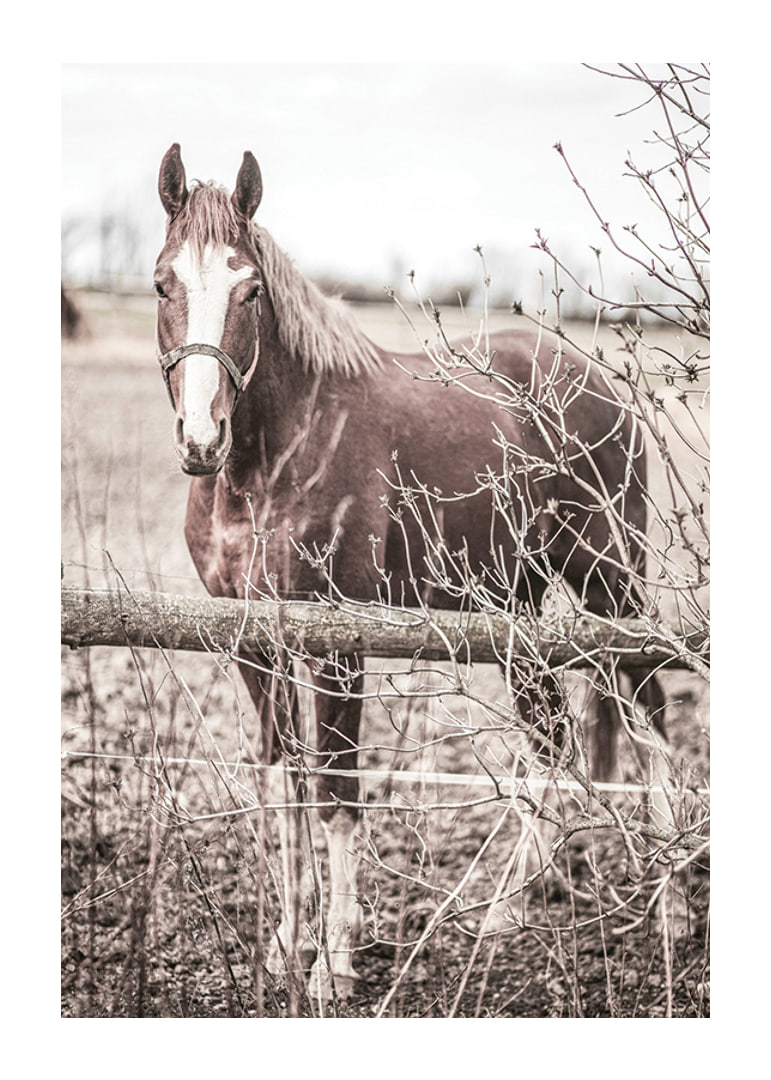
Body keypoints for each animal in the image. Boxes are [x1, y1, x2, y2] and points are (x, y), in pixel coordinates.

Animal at [153, 144, 667, 1004]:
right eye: (162, 282)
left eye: (249, 288)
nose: (201, 438)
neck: (274, 457)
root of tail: (593, 380)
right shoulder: (251, 642)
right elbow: (284, 785)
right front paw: (285, 944)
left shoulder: (338, 644)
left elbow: (335, 793)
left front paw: (333, 960)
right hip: (515, 611)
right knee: (553, 741)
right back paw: (505, 913)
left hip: (609, 584)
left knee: (649, 715)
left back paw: (670, 912)